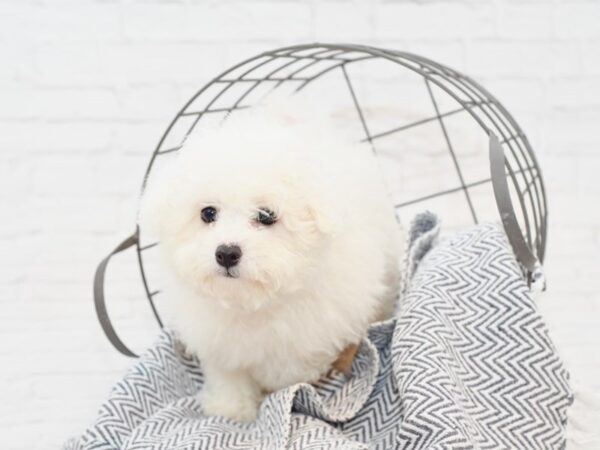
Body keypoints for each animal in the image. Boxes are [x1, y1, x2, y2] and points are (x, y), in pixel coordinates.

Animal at [141, 98, 404, 422]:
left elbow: (294, 372)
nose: (226, 252)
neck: (255, 302)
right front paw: (230, 408)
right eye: (208, 213)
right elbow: (227, 373)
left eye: (266, 216)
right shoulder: (216, 337)